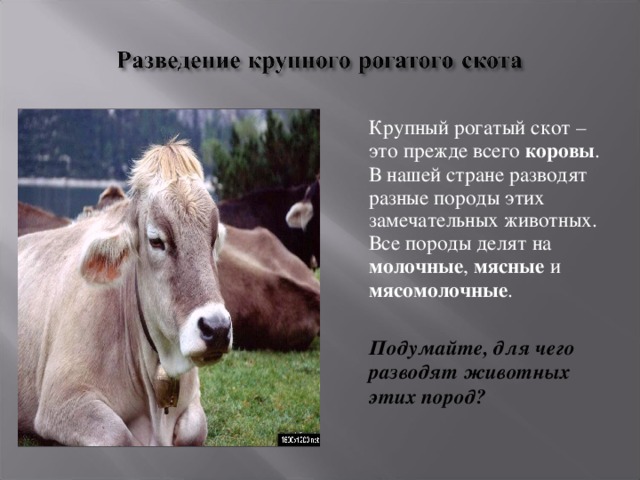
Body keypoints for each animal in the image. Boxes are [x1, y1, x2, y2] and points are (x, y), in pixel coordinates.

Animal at [18, 140, 232, 446]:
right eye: (156, 240)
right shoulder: (60, 401)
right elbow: (119, 435)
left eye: (212, 239)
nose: (217, 328)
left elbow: (196, 427)